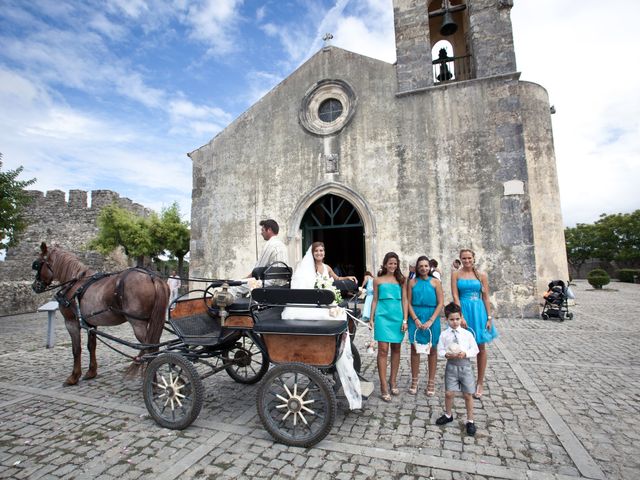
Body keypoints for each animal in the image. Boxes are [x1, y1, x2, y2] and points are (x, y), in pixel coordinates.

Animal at [31, 242, 170, 384]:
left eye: (36, 264)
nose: (34, 286)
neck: (75, 284)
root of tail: (152, 277)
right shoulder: (91, 323)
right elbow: (91, 346)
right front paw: (91, 372)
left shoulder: (71, 322)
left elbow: (76, 349)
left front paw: (74, 377)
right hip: (154, 321)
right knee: (154, 347)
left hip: (138, 323)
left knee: (150, 348)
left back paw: (152, 381)